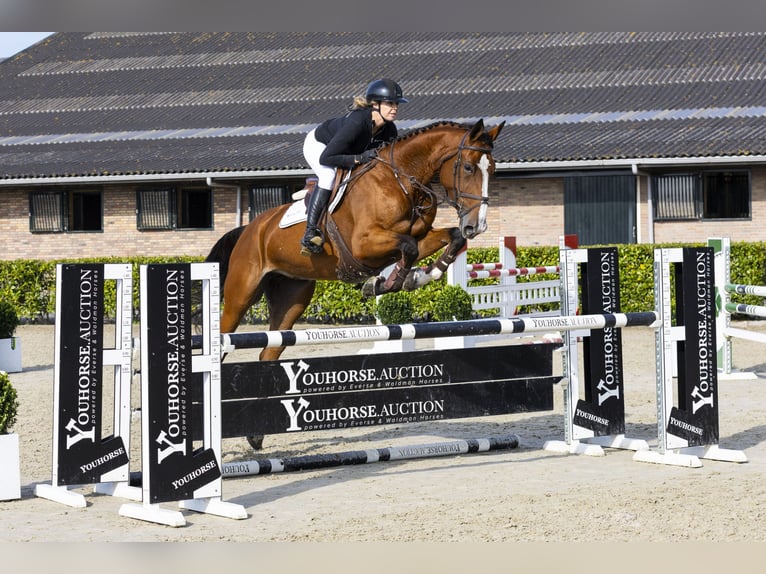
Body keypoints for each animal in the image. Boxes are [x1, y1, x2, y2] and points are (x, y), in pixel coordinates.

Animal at [206, 119, 504, 362]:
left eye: (493, 170)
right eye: (468, 167)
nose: (477, 225)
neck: (401, 180)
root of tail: (250, 228)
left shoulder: (415, 238)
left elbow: (449, 238)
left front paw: (418, 277)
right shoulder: (364, 246)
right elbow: (407, 247)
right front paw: (384, 283)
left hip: (292, 296)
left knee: (270, 349)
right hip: (241, 293)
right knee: (225, 336)